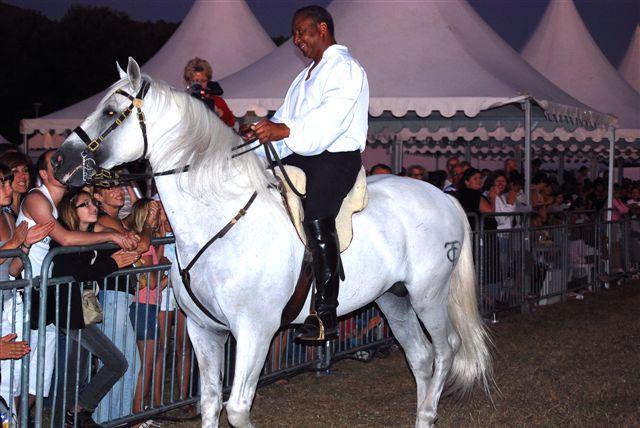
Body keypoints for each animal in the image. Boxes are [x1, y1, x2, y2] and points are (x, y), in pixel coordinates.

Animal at [52, 58, 492, 426]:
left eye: (110, 112)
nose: (59, 161)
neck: (220, 222)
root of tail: (443, 197)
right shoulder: (203, 330)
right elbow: (210, 403)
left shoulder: (255, 331)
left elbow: (237, 409)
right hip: (392, 298)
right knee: (421, 356)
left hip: (428, 295)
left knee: (446, 349)